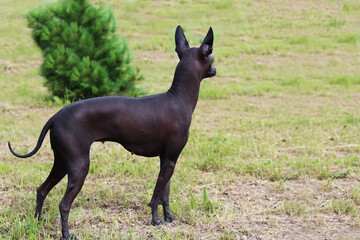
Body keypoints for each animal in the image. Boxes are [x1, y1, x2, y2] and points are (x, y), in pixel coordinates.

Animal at [9, 25, 217, 239]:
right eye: (211, 56)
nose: (215, 70)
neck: (178, 98)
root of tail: (55, 117)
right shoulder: (169, 160)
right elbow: (155, 196)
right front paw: (155, 220)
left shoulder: (168, 159)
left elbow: (164, 194)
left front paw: (168, 217)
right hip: (79, 166)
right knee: (64, 205)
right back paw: (66, 234)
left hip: (62, 162)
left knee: (41, 190)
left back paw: (37, 221)